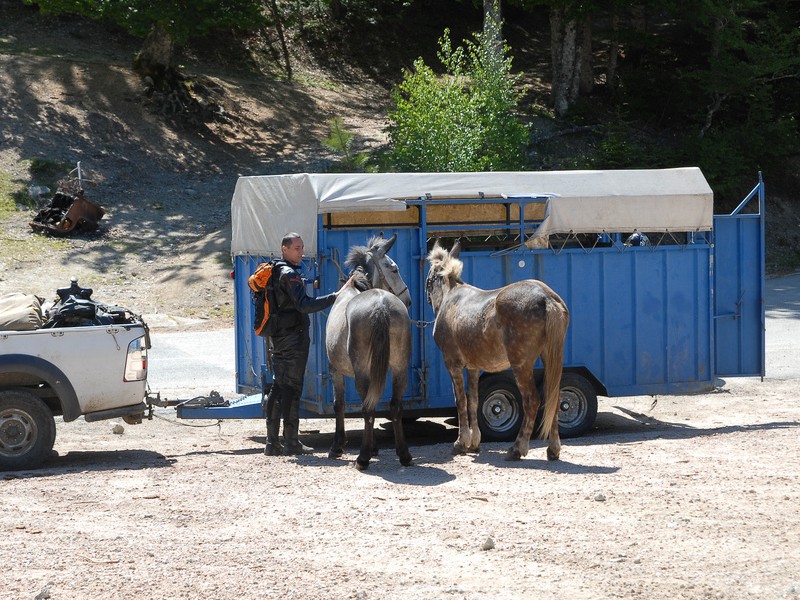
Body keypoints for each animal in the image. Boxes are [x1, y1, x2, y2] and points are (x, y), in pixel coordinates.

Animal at [324, 232, 412, 472]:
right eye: (394, 269)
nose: (408, 299)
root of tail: (380, 305)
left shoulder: (335, 370)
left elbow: (339, 404)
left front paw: (337, 446)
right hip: (400, 368)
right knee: (395, 406)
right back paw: (404, 454)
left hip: (362, 372)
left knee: (368, 408)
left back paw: (362, 458)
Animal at [424, 239, 568, 460]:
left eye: (430, 276)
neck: (451, 296)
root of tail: (547, 299)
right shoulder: (473, 367)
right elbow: (473, 400)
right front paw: (474, 443)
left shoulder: (452, 363)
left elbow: (460, 400)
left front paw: (461, 443)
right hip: (552, 357)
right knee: (553, 397)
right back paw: (553, 449)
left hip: (521, 364)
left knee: (532, 401)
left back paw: (517, 448)